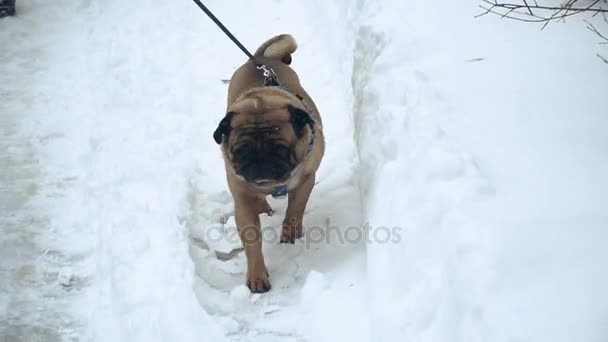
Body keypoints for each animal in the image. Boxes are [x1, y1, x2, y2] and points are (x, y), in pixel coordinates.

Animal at [215, 34, 326, 292]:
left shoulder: (306, 179)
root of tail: (259, 58)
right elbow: (252, 240)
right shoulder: (242, 197)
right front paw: (257, 276)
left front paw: (291, 232)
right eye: (241, 151)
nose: (260, 161)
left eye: (280, 149)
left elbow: (296, 209)